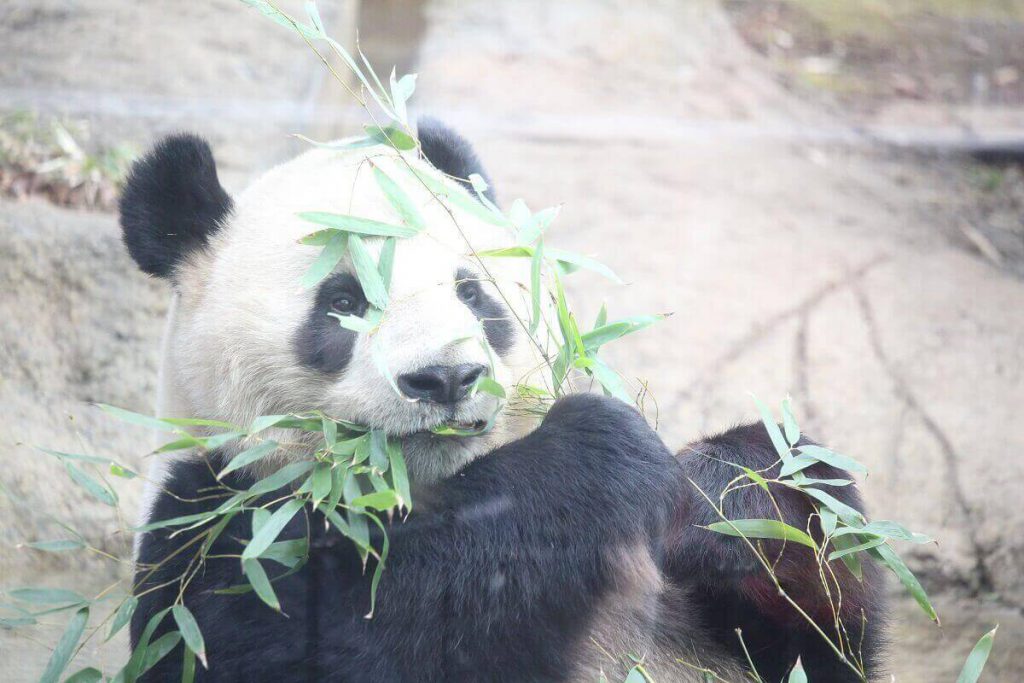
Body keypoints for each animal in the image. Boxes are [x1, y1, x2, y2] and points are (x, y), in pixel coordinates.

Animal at [119, 120, 884, 679]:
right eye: (342, 302)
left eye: (472, 292)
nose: (445, 377)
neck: (428, 491)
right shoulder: (211, 524)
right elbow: (341, 631)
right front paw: (593, 453)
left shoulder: (678, 601)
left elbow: (820, 642)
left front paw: (726, 499)